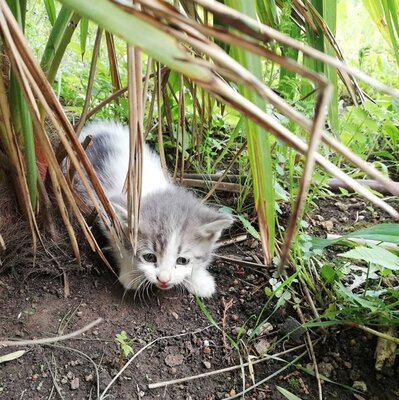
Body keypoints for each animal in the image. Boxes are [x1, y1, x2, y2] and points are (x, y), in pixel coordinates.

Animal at [79, 120, 233, 298]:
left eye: (182, 260)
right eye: (149, 257)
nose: (164, 279)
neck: (149, 187)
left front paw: (199, 280)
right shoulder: (108, 216)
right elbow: (120, 247)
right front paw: (130, 273)